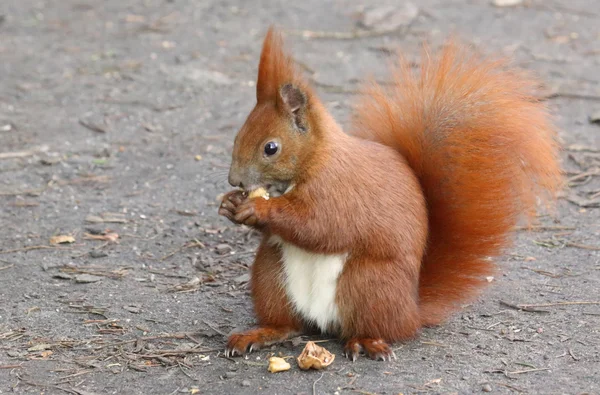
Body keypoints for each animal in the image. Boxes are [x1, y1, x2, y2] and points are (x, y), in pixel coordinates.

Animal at [217, 26, 564, 362]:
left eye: (270, 148)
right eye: (236, 136)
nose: (234, 180)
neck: (314, 159)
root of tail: (412, 310)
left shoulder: (339, 190)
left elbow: (319, 225)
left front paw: (258, 210)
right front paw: (229, 205)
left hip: (368, 282)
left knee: (376, 327)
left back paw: (365, 342)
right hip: (271, 275)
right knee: (287, 324)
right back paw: (259, 334)